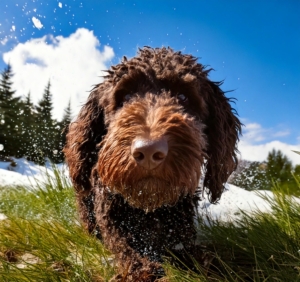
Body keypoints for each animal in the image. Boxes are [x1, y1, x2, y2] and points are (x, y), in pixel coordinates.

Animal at [63, 47, 241, 280]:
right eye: (126, 96)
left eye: (183, 96)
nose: (148, 151)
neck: (149, 208)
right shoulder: (114, 224)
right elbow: (129, 252)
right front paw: (145, 271)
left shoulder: (180, 229)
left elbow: (196, 254)